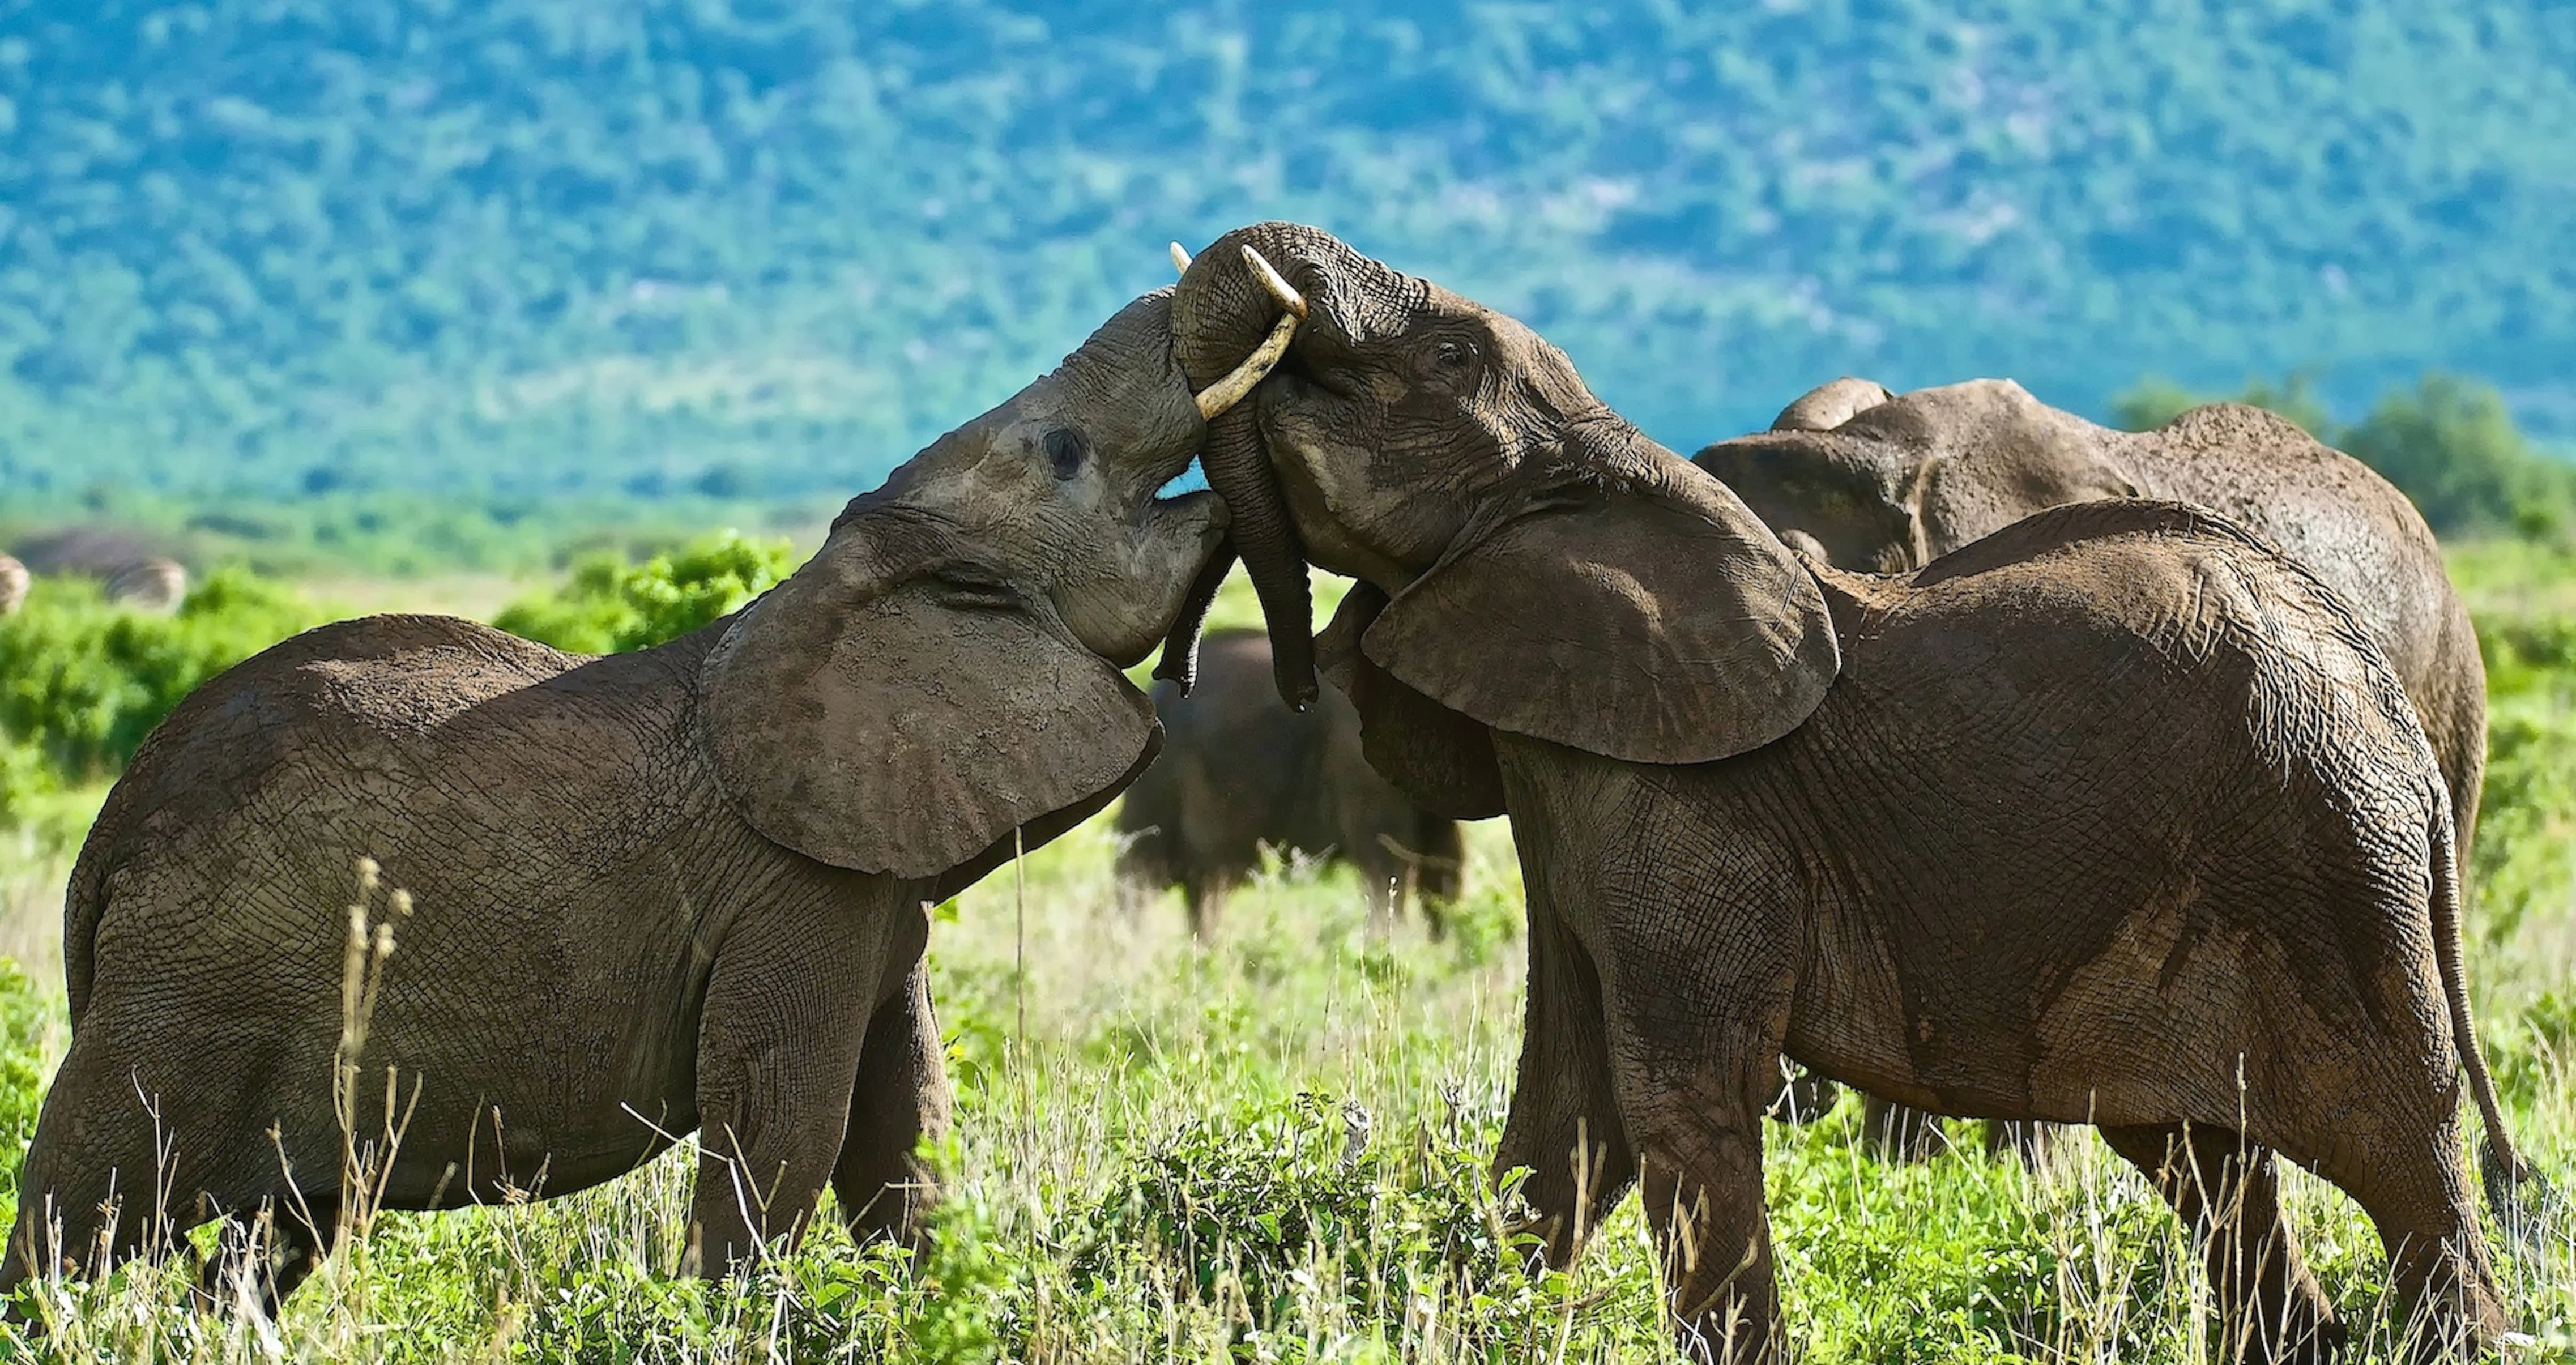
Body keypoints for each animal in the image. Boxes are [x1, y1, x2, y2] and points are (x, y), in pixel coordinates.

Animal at [2, 284, 1302, 1309]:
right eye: (1066, 450)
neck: (850, 576)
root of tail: (106, 842)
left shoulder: (872, 878)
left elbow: (906, 1127)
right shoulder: (796, 886)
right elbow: (785, 1127)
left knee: (270, 1240)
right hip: (189, 989)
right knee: (77, 1212)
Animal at [1169, 222, 2545, 1362]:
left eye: (1449, 354)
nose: (1213, 668)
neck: (1626, 472)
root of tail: (2390, 711)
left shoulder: (1690, 810)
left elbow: (1674, 1103)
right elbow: (1566, 1118)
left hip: (2337, 863)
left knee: (2402, 1162)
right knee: (2207, 1168)